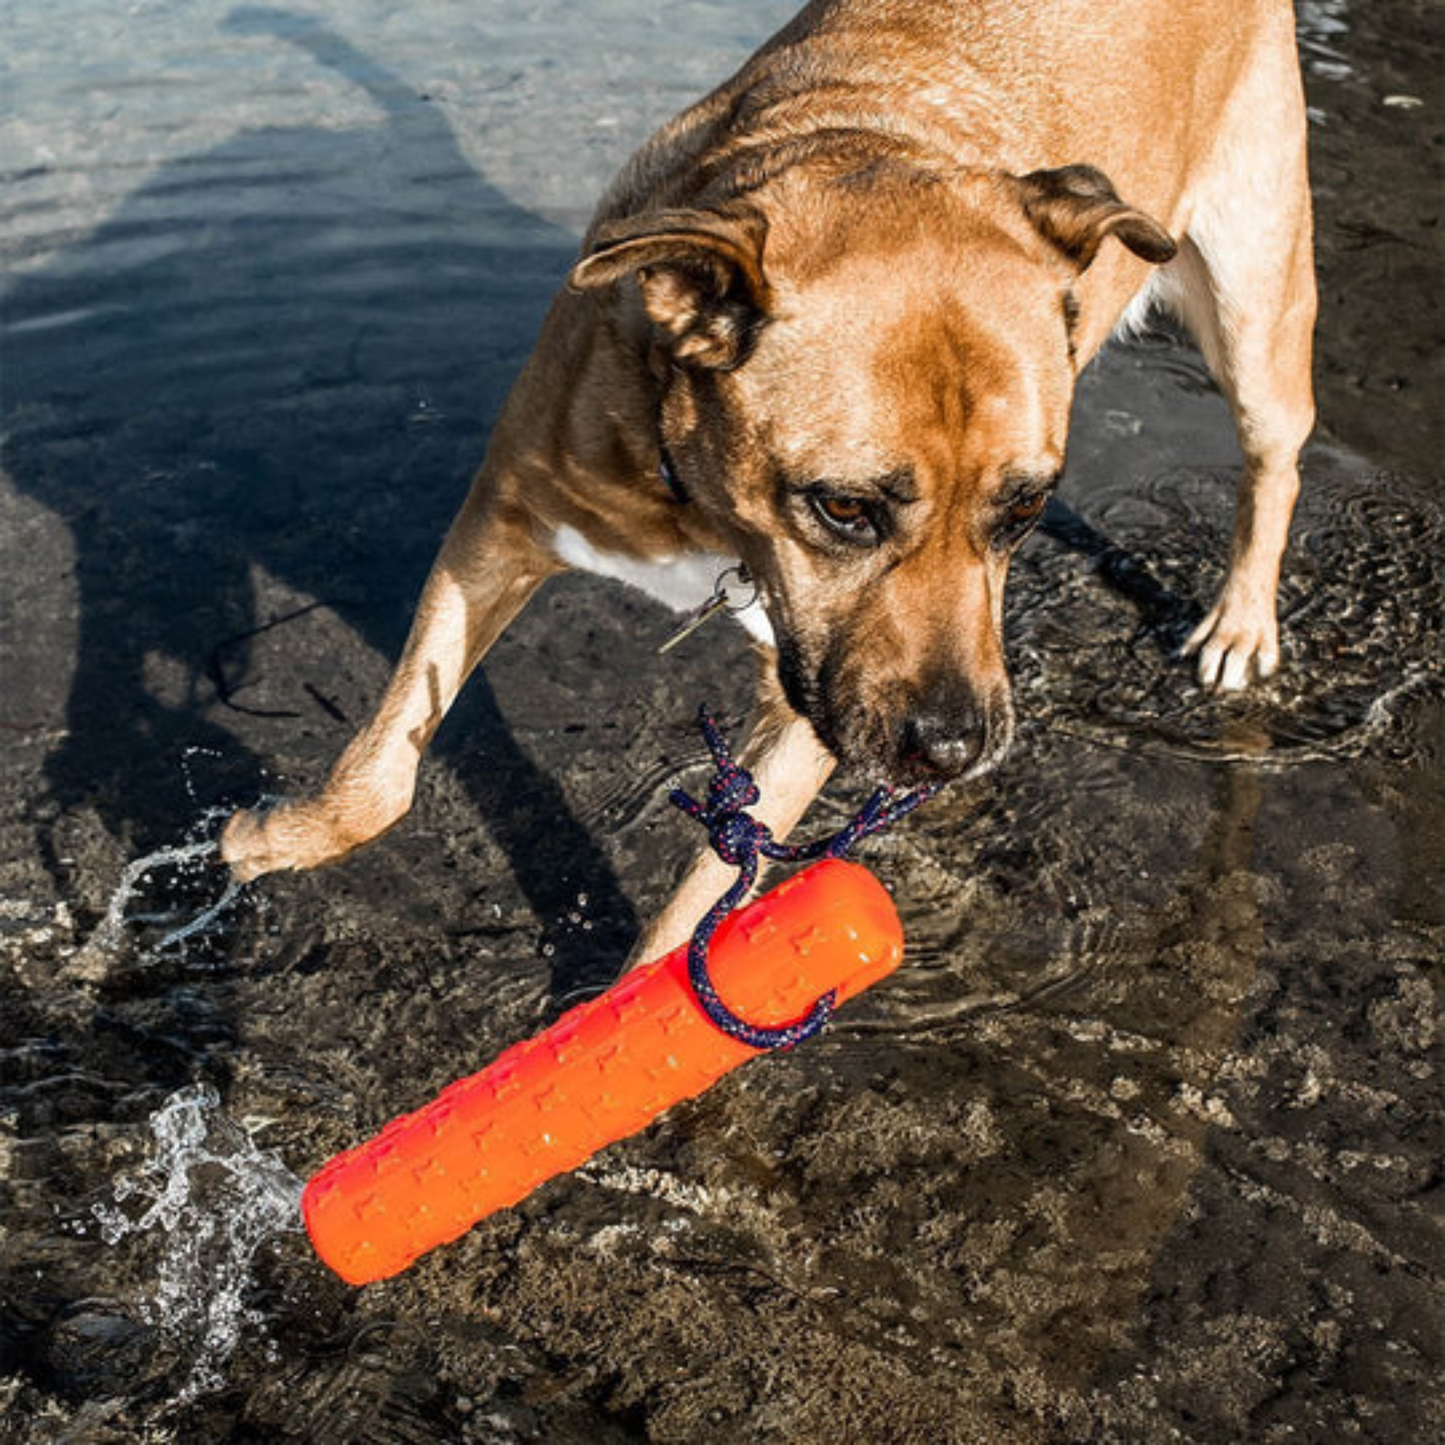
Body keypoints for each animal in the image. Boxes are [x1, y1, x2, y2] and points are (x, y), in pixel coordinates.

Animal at [219, 2, 1317, 971]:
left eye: (1024, 507)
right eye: (843, 506)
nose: (953, 747)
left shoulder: (813, 708)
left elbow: (689, 920)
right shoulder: (503, 519)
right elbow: (382, 766)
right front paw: (269, 841)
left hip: (1253, 300)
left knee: (1276, 455)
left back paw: (1238, 623)